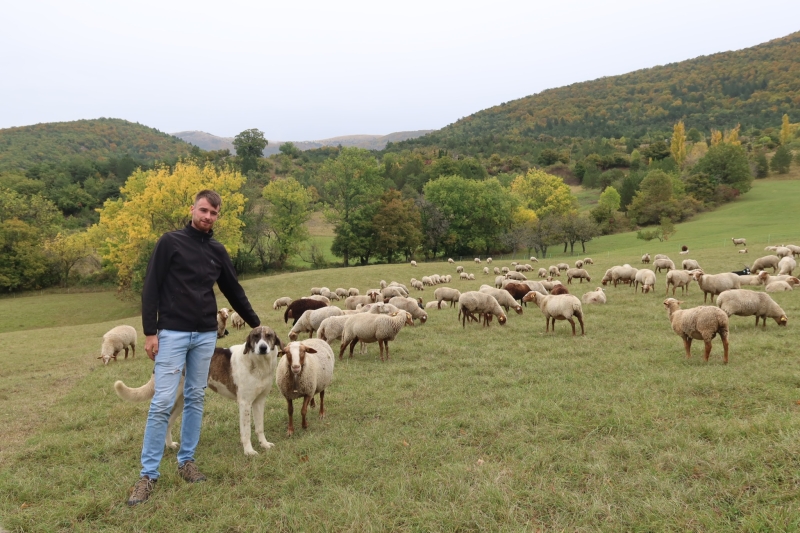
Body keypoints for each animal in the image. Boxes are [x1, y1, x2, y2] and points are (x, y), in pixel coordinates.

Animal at [115, 326, 284, 456]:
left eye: (269, 336)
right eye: (255, 337)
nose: (263, 348)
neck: (258, 364)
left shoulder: (259, 402)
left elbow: (260, 427)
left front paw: (264, 445)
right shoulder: (245, 404)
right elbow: (246, 431)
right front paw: (249, 451)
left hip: (181, 402)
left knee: (168, 422)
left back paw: (169, 445)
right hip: (170, 399)